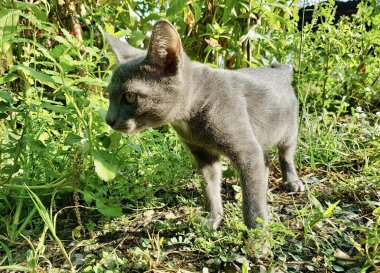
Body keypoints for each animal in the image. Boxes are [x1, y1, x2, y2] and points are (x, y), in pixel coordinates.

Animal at [105, 19, 304, 227]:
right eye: (109, 94)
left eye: (129, 96)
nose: (108, 119)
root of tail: (279, 69)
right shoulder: (202, 153)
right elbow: (209, 186)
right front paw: (212, 218)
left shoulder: (248, 152)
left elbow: (252, 199)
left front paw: (257, 231)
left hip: (289, 129)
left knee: (286, 154)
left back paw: (292, 181)